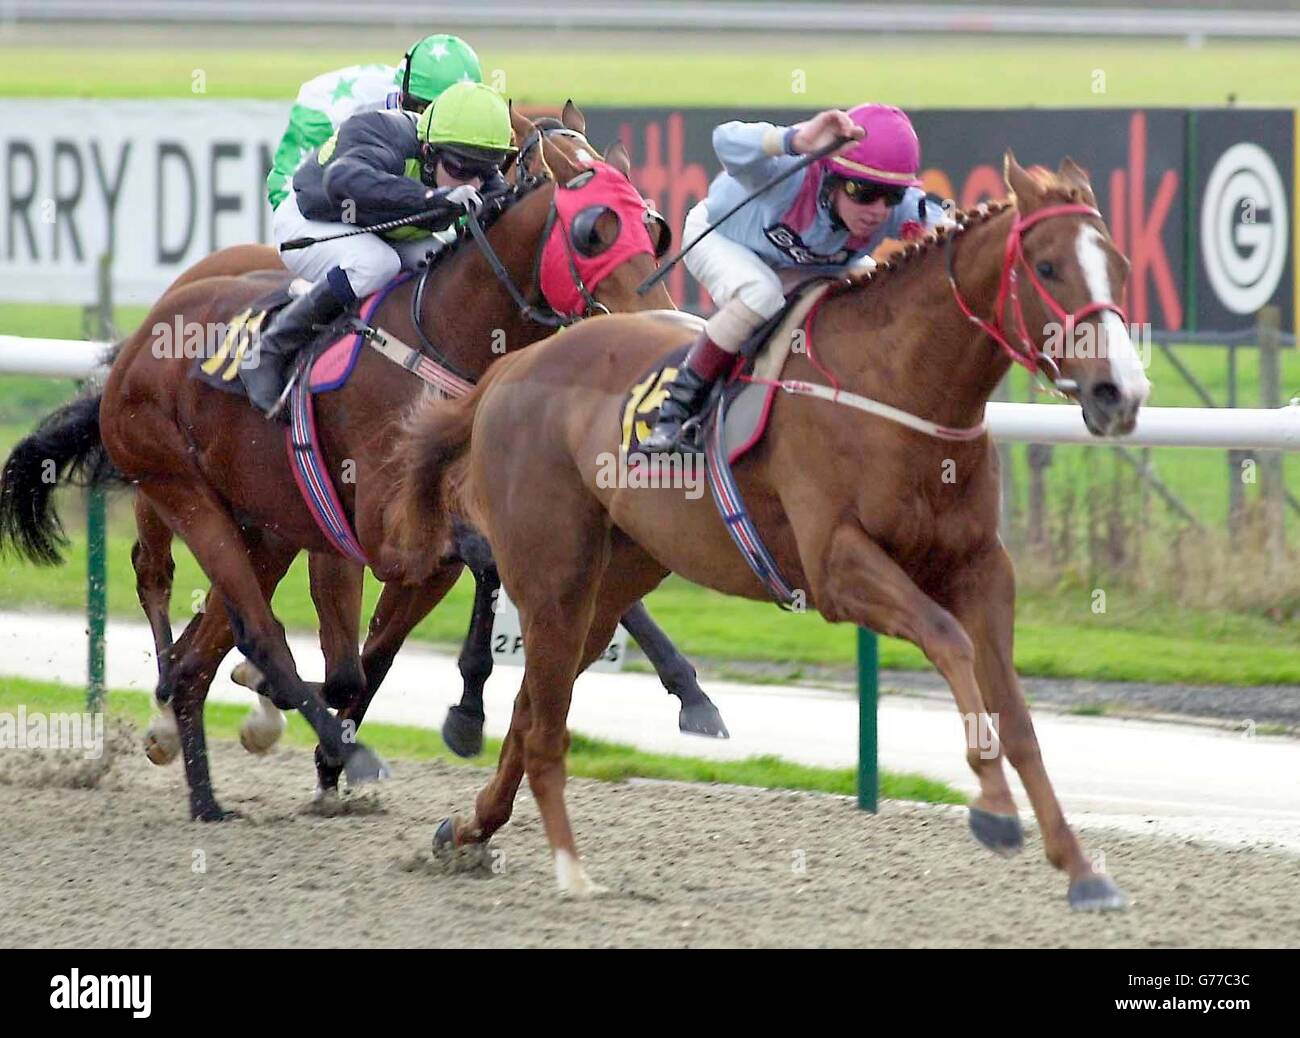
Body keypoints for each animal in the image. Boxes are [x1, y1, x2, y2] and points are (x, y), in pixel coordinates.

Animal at [0, 105, 712, 822]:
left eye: (654, 225)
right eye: (595, 230)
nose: (658, 324)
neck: (448, 338)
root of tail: (137, 342)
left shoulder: (438, 546)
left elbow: (398, 640)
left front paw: (461, 714)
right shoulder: (377, 530)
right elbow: (410, 614)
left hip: (263, 524)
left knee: (199, 652)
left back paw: (207, 792)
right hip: (179, 486)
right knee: (234, 619)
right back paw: (313, 744)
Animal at [392, 154, 1149, 910]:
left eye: (1117, 264)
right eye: (1047, 267)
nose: (1121, 393)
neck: (899, 388)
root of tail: (506, 369)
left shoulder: (981, 567)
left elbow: (1017, 713)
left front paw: (1082, 868)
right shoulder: (838, 566)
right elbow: (948, 640)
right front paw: (992, 807)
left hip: (612, 579)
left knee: (533, 706)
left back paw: (469, 830)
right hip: (552, 570)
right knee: (544, 717)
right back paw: (567, 866)